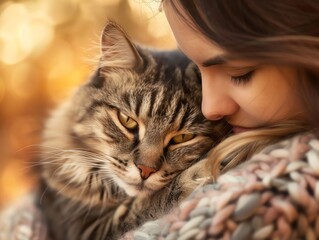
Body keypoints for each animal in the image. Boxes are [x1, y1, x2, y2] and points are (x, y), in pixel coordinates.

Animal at [39, 21, 230, 239]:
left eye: (183, 137)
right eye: (127, 121)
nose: (145, 170)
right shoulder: (86, 228)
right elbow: (152, 201)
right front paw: (201, 171)